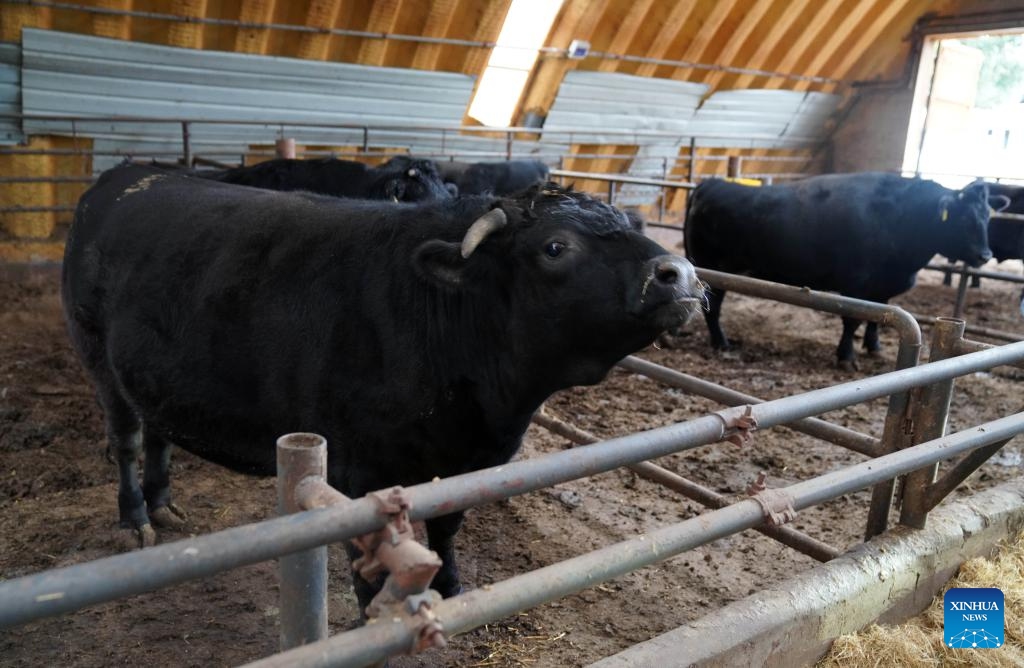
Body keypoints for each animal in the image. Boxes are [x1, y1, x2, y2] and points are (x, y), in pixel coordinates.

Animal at [61, 165, 704, 610]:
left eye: (636, 227)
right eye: (555, 247)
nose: (681, 274)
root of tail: (126, 176)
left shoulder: (472, 463)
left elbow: (446, 528)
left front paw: (452, 585)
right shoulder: (356, 472)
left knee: (160, 433)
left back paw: (164, 504)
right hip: (97, 359)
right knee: (128, 440)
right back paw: (136, 516)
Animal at [684, 172, 995, 368]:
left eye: (988, 217)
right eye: (965, 219)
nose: (985, 255)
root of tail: (709, 184)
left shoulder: (883, 287)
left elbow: (877, 318)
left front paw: (874, 347)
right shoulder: (855, 284)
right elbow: (853, 320)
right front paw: (846, 356)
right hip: (713, 268)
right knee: (712, 307)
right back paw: (721, 343)